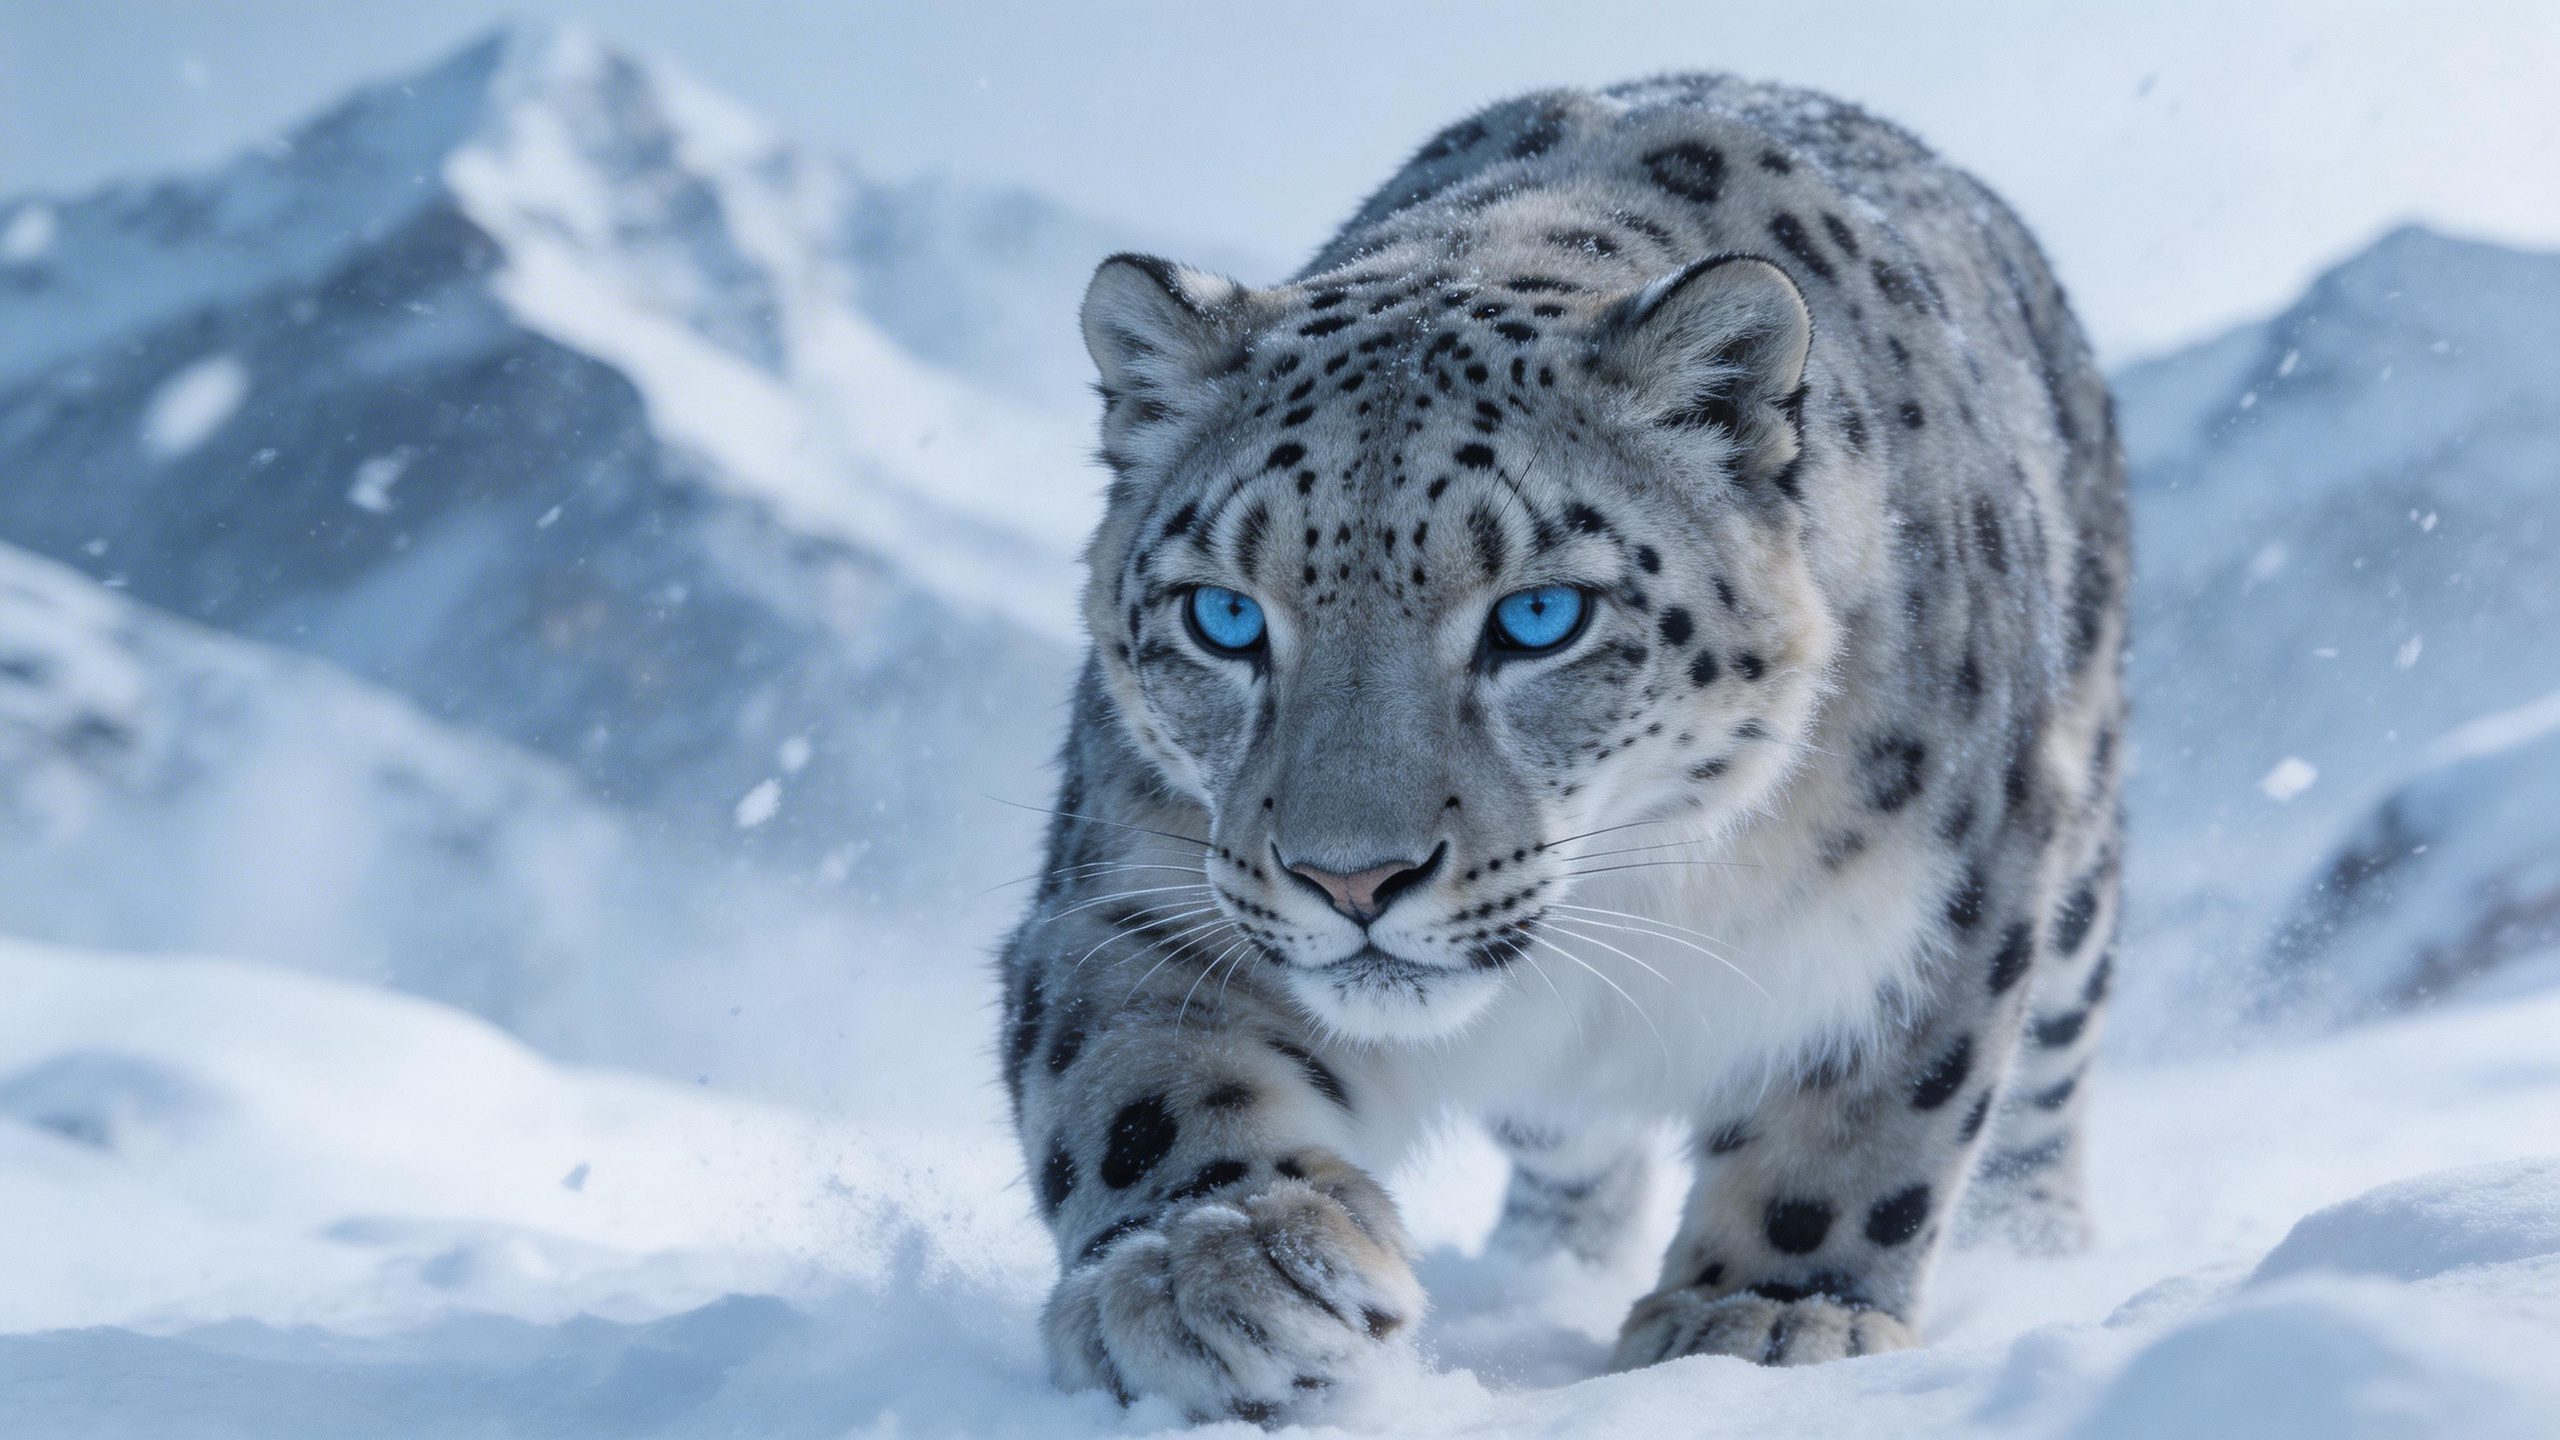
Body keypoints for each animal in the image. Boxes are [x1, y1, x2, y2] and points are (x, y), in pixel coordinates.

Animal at [999, 72, 2125, 1425]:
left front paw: (1770, 1318)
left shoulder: (1942, 895)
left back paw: (2040, 1255)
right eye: (1223, 616)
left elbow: (1873, 1115)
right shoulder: (1136, 876)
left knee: (2047, 1082)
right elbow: (1130, 1067)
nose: (1350, 880)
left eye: (1539, 616)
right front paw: (1221, 1267)